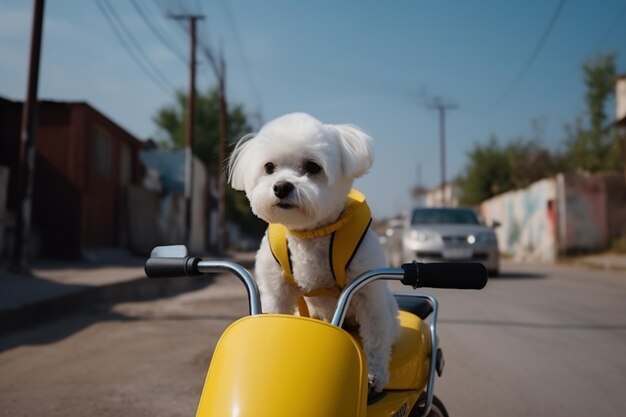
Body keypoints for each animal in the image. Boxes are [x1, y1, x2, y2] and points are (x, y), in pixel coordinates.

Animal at [227, 112, 398, 392]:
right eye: (269, 167)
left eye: (313, 167)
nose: (281, 186)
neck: (310, 235)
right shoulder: (276, 291)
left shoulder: (369, 295)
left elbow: (375, 337)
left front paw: (375, 375)